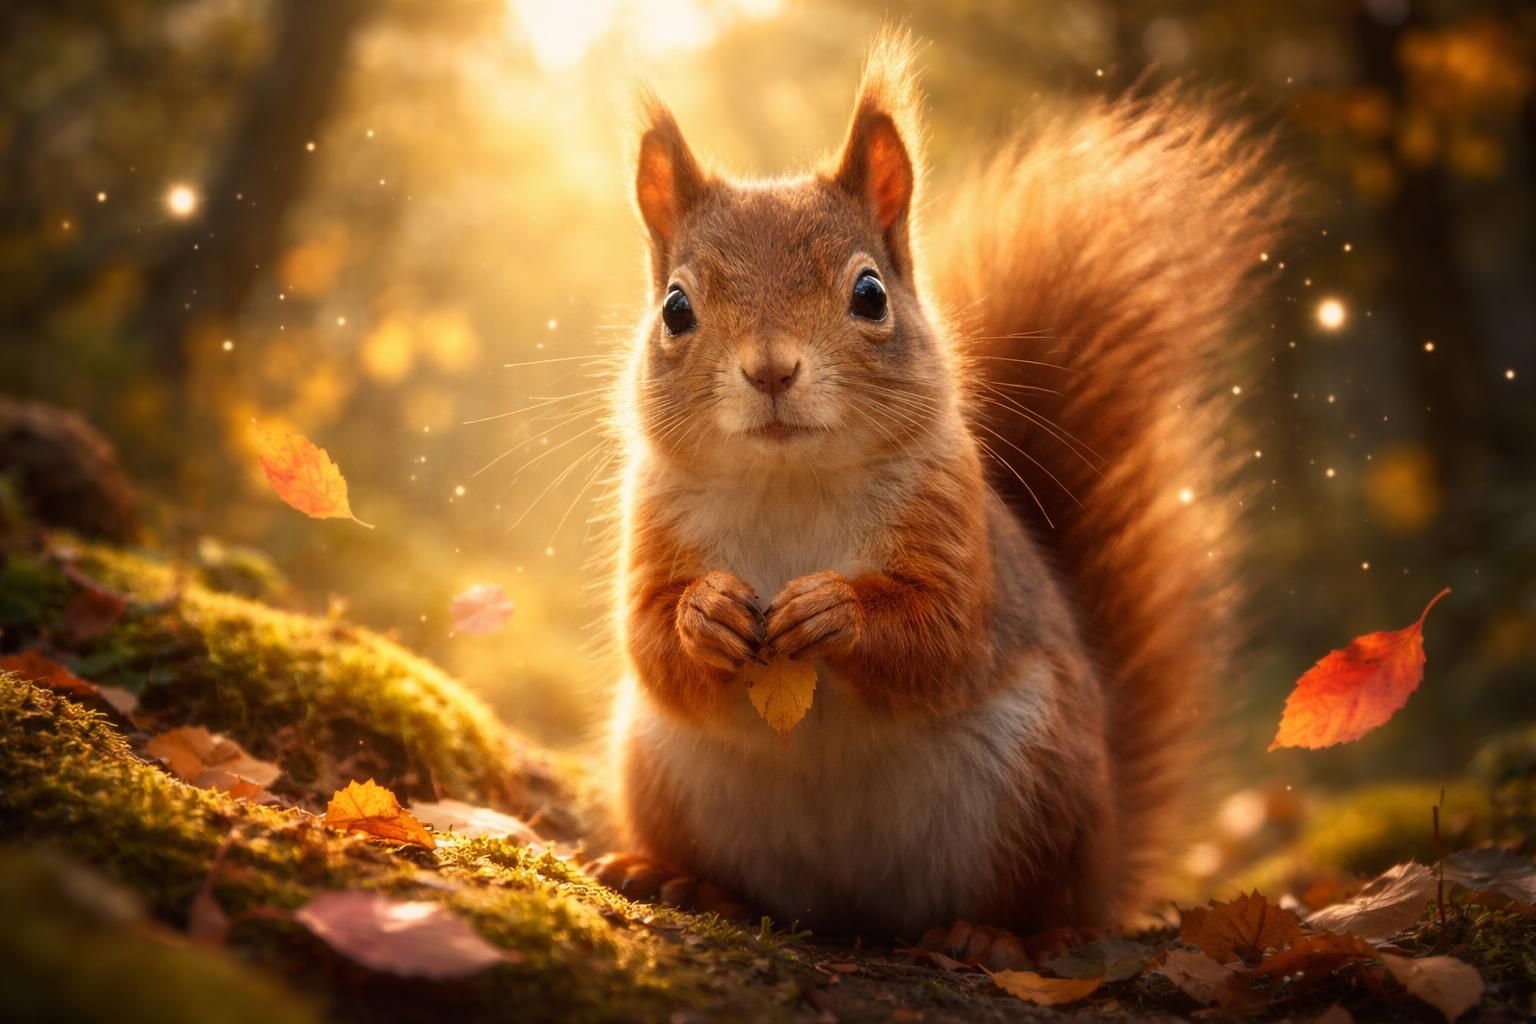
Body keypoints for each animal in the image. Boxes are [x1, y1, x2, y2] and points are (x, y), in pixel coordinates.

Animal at [594, 36, 1283, 956]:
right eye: (676, 308)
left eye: (869, 294)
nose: (771, 369)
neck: (791, 482)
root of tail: (848, 914)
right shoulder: (653, 525)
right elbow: (647, 635)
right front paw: (705, 614)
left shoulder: (951, 525)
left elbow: (940, 631)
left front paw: (834, 610)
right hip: (659, 766)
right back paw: (682, 882)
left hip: (1039, 782)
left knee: (1046, 908)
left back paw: (995, 937)